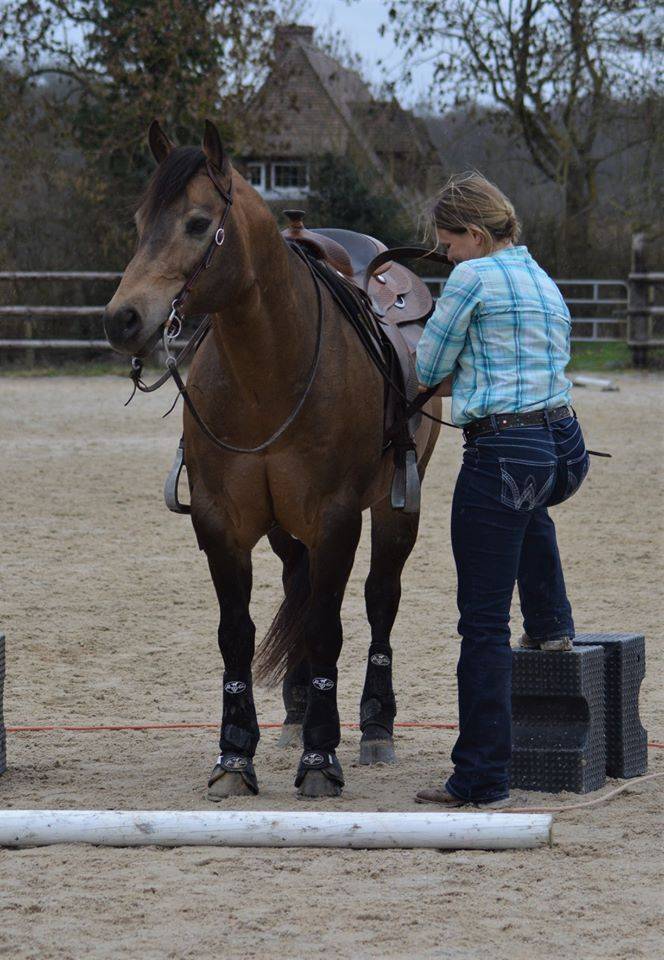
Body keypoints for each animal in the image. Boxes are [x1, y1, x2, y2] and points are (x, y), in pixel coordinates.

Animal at [104, 119, 441, 799]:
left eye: (198, 223)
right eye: (141, 220)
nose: (122, 318)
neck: (269, 374)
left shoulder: (337, 520)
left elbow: (329, 626)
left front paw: (322, 757)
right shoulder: (221, 522)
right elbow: (237, 634)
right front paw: (235, 755)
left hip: (396, 510)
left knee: (380, 599)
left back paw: (375, 727)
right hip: (287, 528)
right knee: (298, 586)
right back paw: (295, 712)